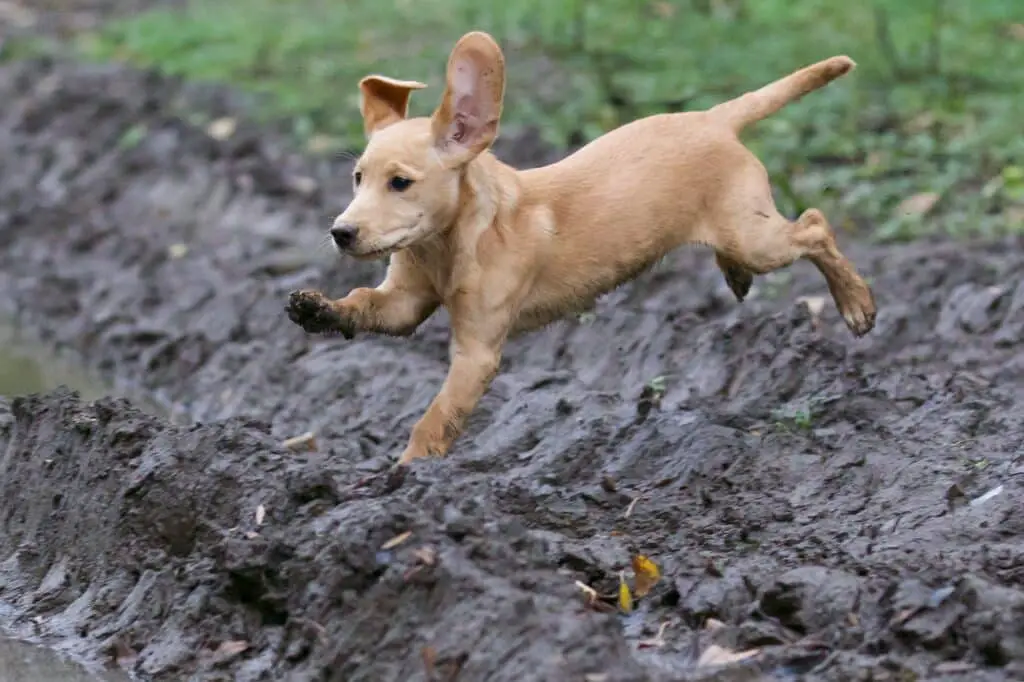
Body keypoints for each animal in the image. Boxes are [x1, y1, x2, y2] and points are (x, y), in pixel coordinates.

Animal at [284, 30, 876, 462]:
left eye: (400, 183)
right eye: (357, 178)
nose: (341, 232)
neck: (449, 242)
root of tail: (712, 118)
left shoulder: (477, 352)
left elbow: (437, 417)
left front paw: (406, 477)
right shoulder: (405, 301)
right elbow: (367, 303)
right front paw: (317, 308)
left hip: (756, 237)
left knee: (815, 226)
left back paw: (856, 304)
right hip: (742, 227)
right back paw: (736, 275)